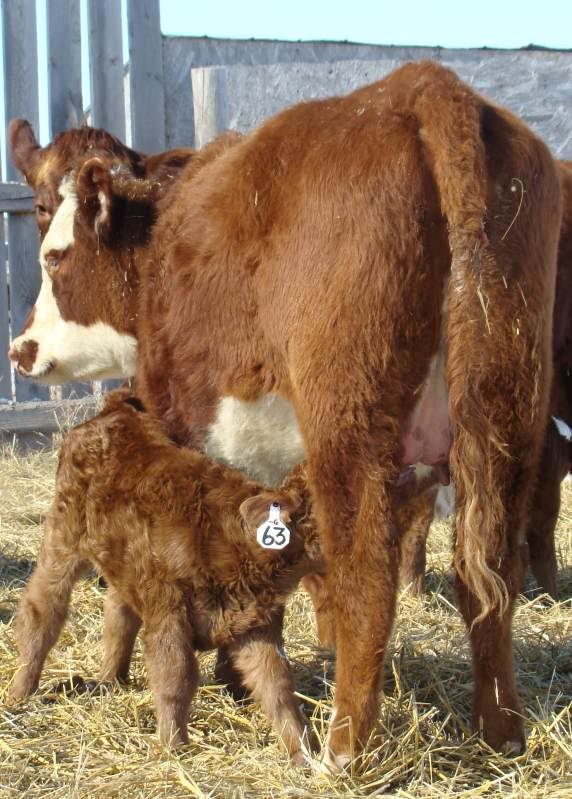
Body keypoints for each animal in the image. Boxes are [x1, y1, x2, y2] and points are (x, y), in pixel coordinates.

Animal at [8, 61, 563, 771]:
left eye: (54, 250)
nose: (22, 348)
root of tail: (428, 89)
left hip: (349, 427)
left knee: (367, 581)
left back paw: (345, 750)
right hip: (506, 416)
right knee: (488, 572)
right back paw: (502, 737)